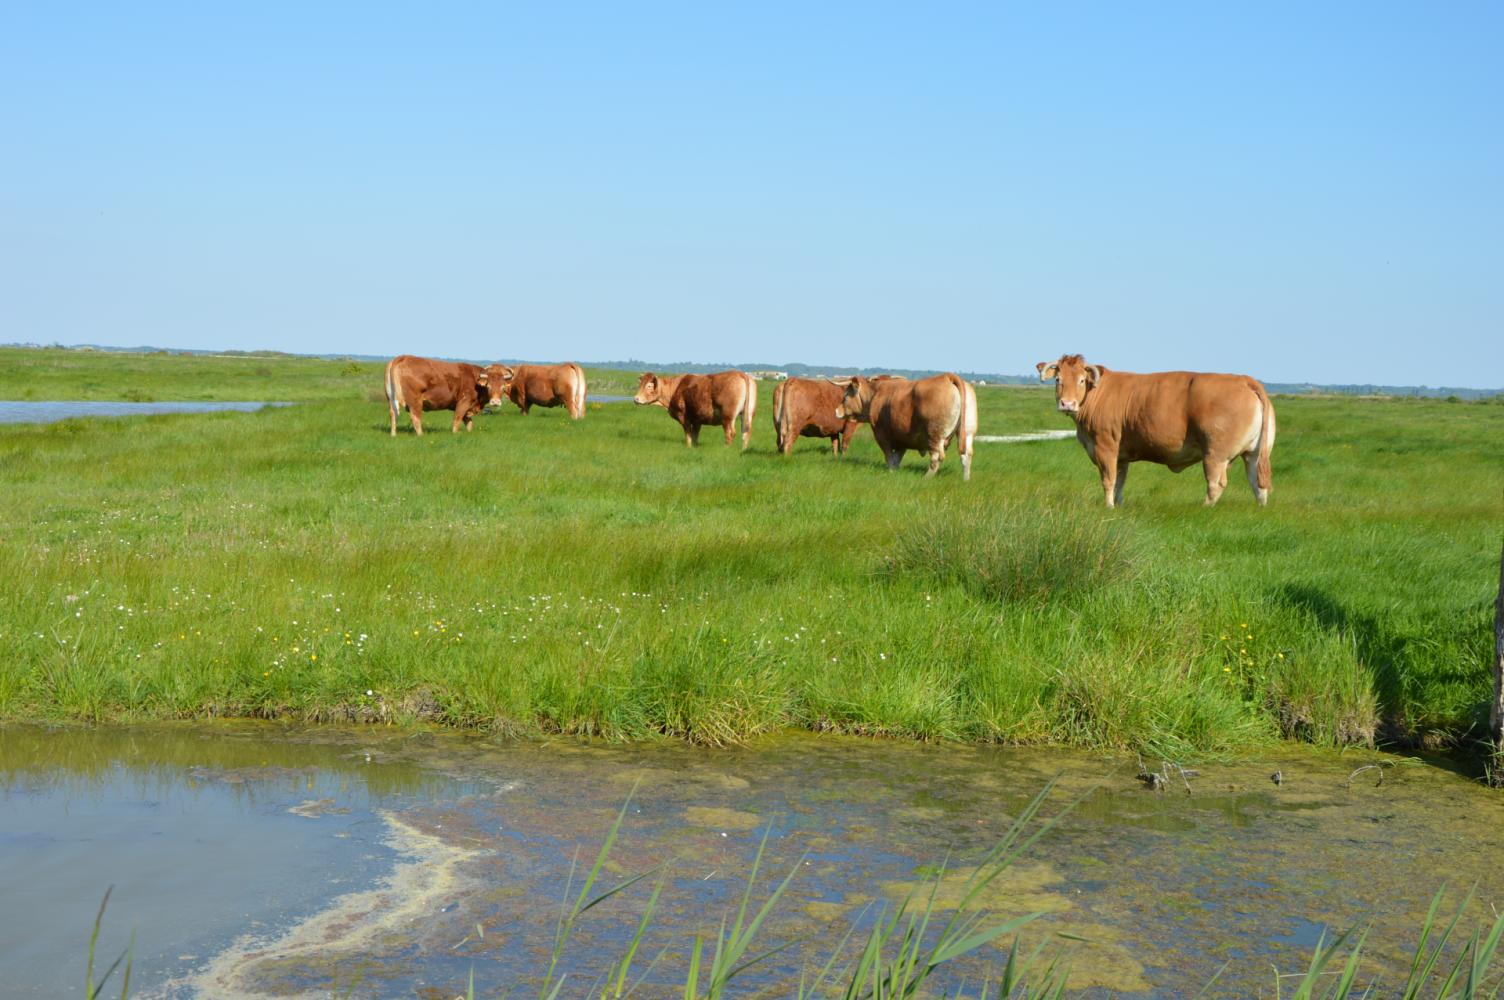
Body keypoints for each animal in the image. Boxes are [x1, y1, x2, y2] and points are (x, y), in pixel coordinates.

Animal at [836, 375, 974, 481]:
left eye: (846, 395)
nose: (836, 411)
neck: (874, 395)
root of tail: (947, 377)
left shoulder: (881, 436)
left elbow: (889, 456)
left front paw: (891, 471)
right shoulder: (902, 439)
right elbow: (897, 457)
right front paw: (895, 471)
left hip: (935, 436)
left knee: (937, 457)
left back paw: (926, 478)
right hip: (967, 434)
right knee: (966, 456)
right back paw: (966, 480)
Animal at [1040, 353, 1275, 508]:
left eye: (1081, 380)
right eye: (1058, 380)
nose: (1067, 404)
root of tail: (1244, 379)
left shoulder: (1105, 447)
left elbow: (1109, 480)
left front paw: (1109, 507)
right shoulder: (1121, 456)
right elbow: (1120, 482)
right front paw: (1119, 505)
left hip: (1215, 455)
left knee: (1216, 483)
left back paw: (1204, 508)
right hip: (1254, 453)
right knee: (1257, 483)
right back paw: (1260, 508)